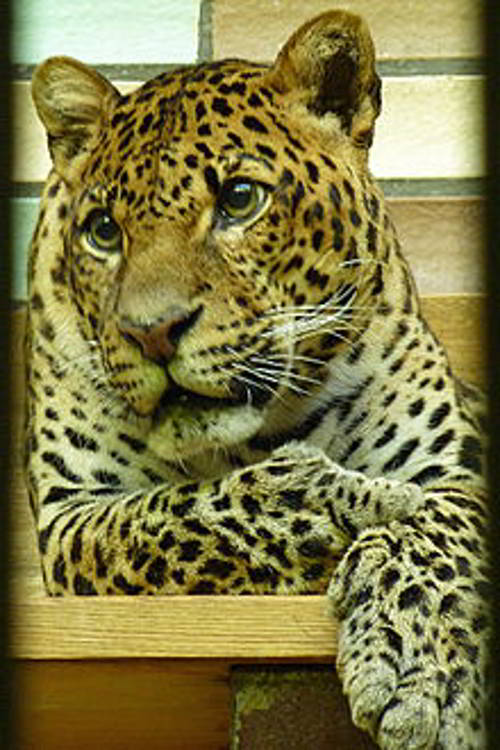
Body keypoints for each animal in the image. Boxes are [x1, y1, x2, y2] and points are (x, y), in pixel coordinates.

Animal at [25, 9, 490, 749]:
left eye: (240, 200)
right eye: (102, 231)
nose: (152, 332)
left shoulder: (452, 467)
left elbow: (439, 526)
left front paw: (422, 664)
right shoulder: (74, 514)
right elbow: (182, 516)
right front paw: (335, 502)